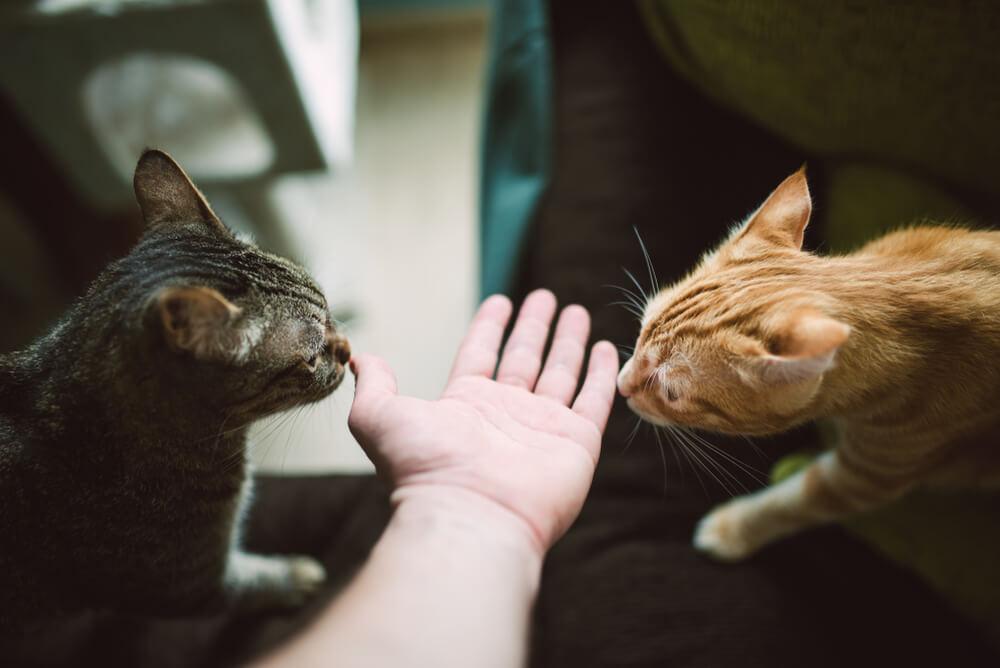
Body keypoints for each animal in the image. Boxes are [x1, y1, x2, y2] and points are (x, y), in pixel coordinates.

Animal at [0, 151, 352, 632]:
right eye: (310, 359)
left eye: (330, 308)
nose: (348, 350)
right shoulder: (187, 587)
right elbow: (255, 583)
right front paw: (295, 577)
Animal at [616, 167, 1000, 560]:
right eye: (641, 330)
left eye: (671, 394)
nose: (620, 384)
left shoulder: (868, 476)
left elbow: (792, 504)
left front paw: (732, 529)